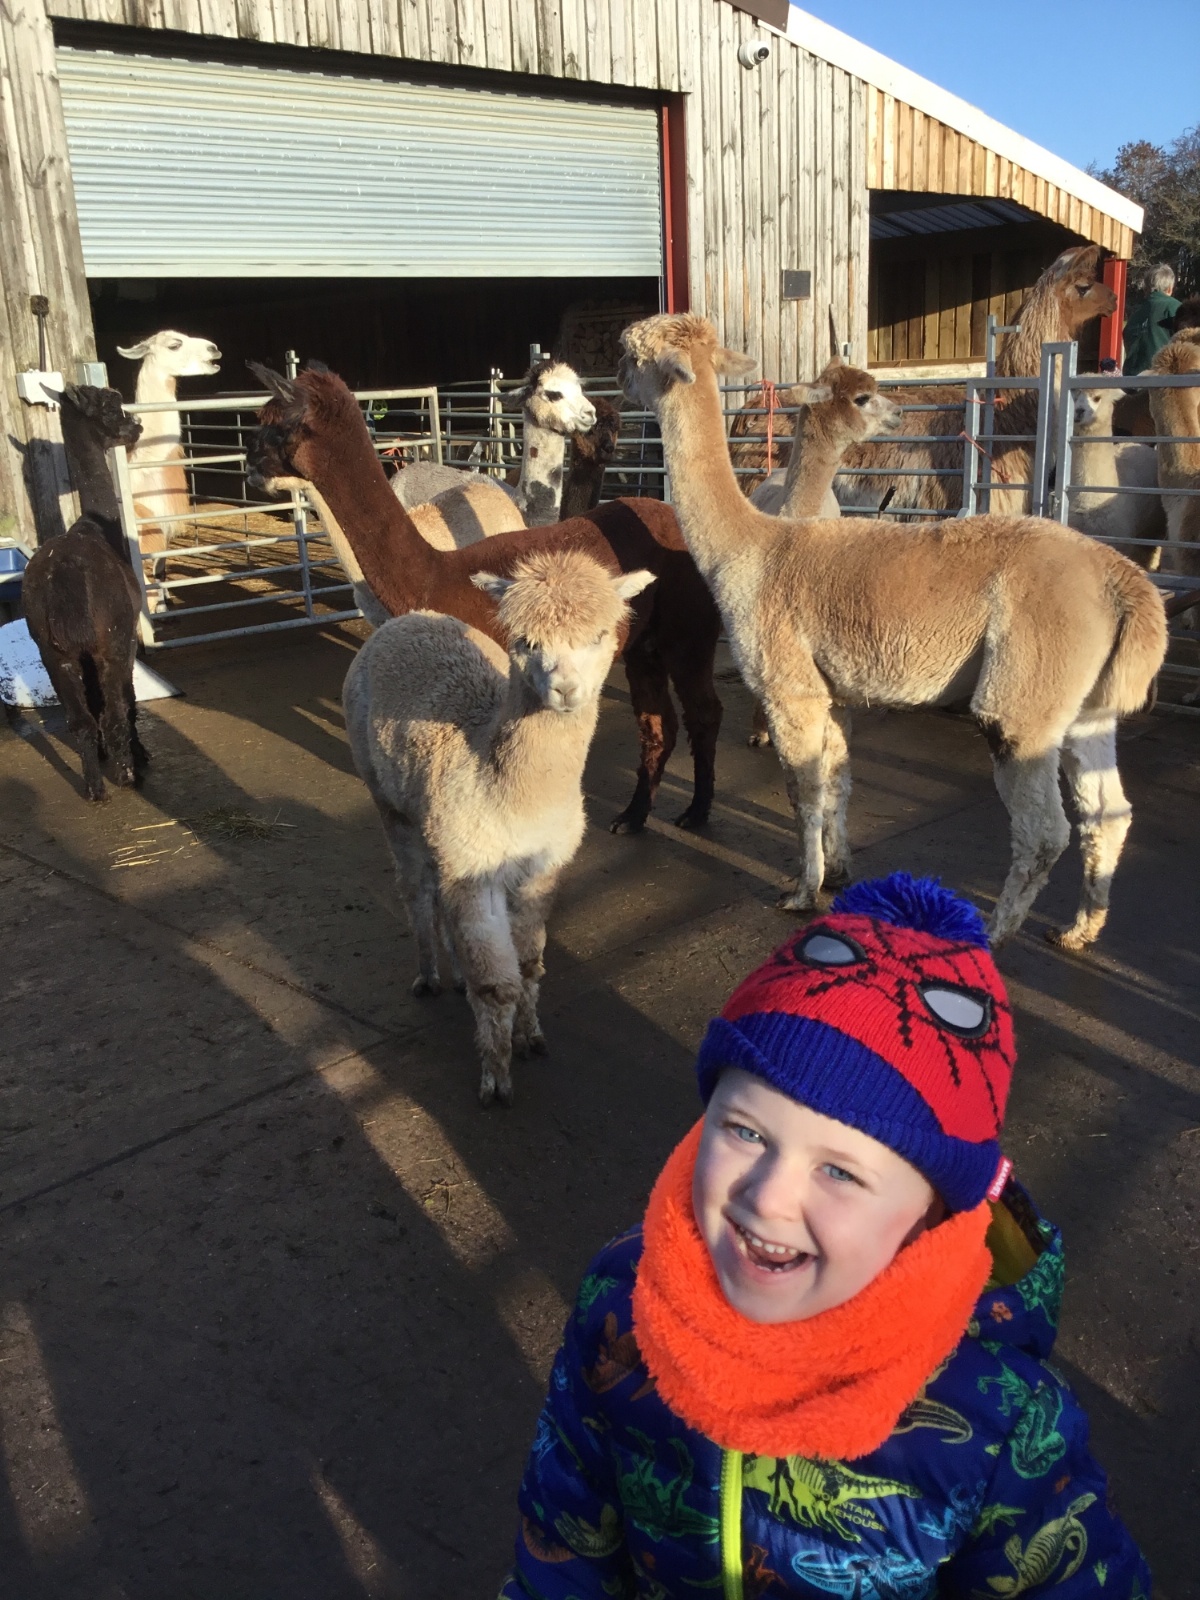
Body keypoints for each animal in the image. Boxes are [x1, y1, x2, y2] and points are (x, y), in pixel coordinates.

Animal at [344, 549, 653, 1106]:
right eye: (526, 641)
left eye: (600, 635)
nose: (565, 689)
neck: (518, 799)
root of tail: (406, 619)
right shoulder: (476, 866)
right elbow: (496, 983)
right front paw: (496, 1076)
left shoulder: (538, 869)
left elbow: (528, 965)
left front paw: (530, 1037)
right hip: (386, 798)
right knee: (415, 887)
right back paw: (428, 975)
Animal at [619, 312, 1166, 950]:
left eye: (635, 354)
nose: (618, 377)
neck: (756, 549)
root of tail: (1121, 578)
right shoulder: (833, 693)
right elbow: (836, 782)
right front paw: (837, 874)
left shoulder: (790, 689)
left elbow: (802, 792)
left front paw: (802, 892)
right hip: (1088, 707)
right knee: (1109, 811)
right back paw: (1081, 928)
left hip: (1025, 690)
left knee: (1044, 828)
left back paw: (992, 933)